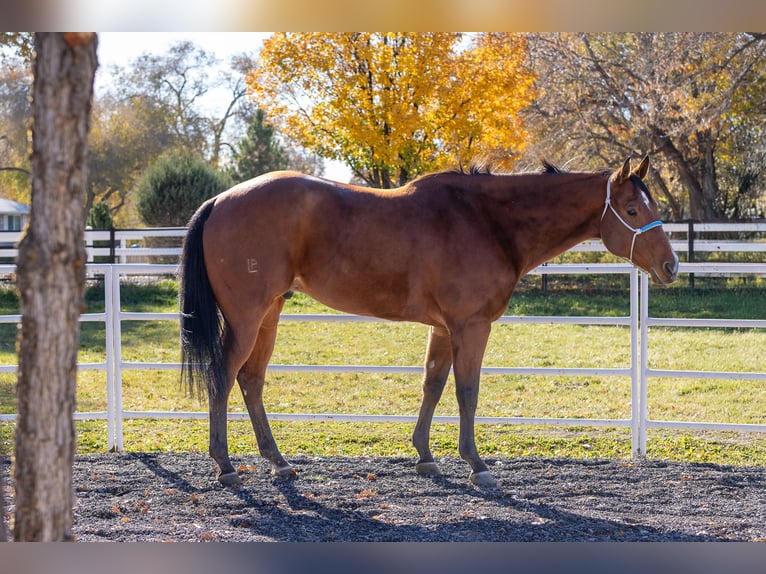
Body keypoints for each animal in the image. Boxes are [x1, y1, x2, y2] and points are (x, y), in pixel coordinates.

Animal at [179, 156, 678, 489]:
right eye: (632, 210)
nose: (671, 266)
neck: (487, 221)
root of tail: (219, 200)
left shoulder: (443, 328)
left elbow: (432, 386)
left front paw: (424, 456)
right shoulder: (471, 326)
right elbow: (466, 393)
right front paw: (477, 465)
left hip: (270, 314)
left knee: (252, 380)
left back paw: (278, 462)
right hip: (247, 317)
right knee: (223, 376)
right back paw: (225, 466)